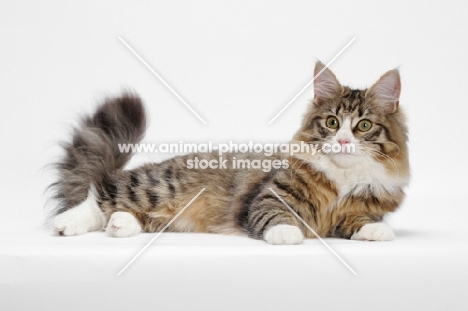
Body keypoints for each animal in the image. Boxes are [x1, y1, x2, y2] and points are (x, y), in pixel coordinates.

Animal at [49, 62, 410, 245]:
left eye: (363, 126)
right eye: (332, 122)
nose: (344, 141)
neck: (343, 177)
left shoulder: (357, 209)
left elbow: (358, 220)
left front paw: (377, 231)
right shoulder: (268, 197)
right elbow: (278, 217)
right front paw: (287, 234)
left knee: (125, 212)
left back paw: (120, 225)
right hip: (155, 186)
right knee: (99, 192)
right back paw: (66, 223)